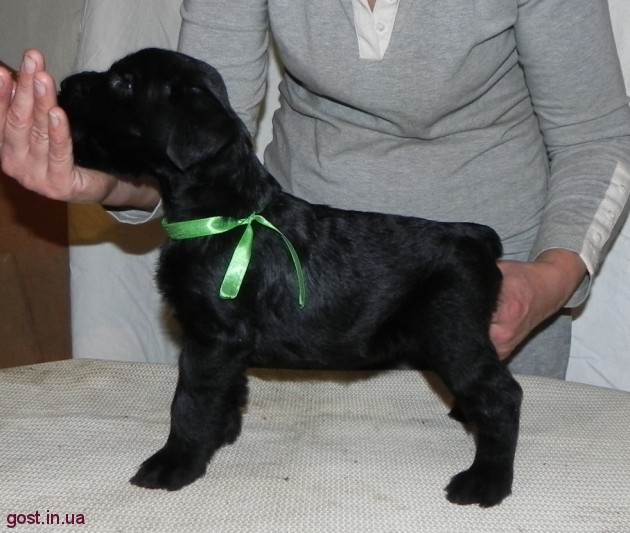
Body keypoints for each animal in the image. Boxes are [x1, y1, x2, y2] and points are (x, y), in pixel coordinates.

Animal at [58, 48, 522, 507]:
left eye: (124, 83)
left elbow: (189, 401)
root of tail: (473, 235)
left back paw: (486, 481)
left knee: (501, 395)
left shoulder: (211, 338)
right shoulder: (226, 345)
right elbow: (226, 391)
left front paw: (175, 463)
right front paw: (221, 434)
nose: (64, 84)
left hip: (451, 334)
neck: (222, 214)